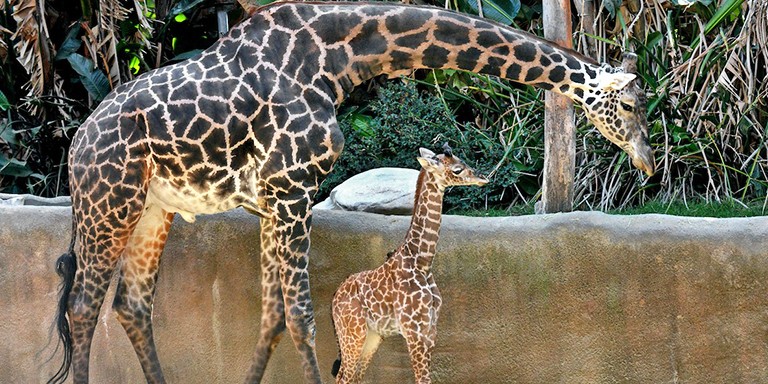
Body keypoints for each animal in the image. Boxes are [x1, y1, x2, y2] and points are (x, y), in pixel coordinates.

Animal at [330, 145, 486, 384]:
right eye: (457, 170)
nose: (483, 178)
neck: (422, 262)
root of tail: (334, 299)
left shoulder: (430, 329)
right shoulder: (414, 332)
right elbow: (422, 379)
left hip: (372, 336)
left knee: (354, 378)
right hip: (352, 333)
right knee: (342, 377)